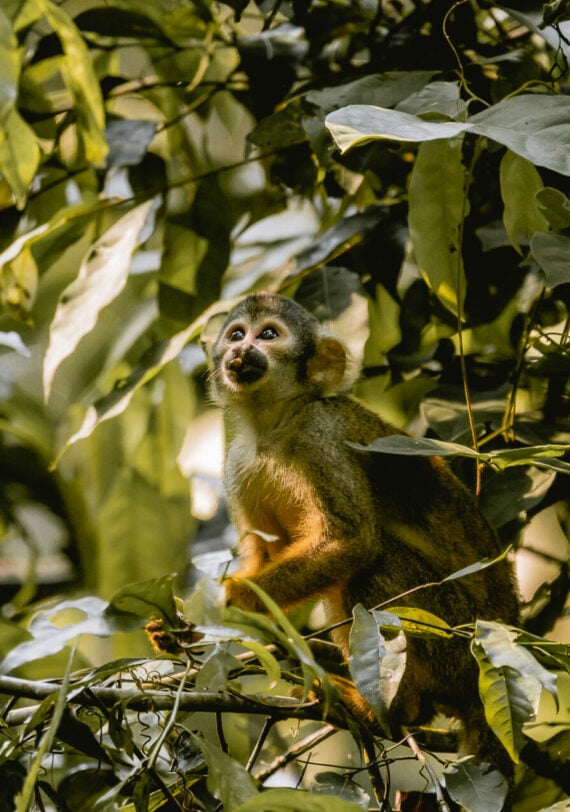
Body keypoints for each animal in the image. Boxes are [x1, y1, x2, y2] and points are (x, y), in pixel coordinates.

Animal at [206, 291, 520, 784]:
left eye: (269, 335)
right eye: (237, 334)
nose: (241, 351)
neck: (276, 424)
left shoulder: (322, 438)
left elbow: (353, 542)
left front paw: (232, 599)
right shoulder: (238, 462)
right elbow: (265, 552)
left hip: (456, 639)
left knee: (372, 573)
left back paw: (395, 709)